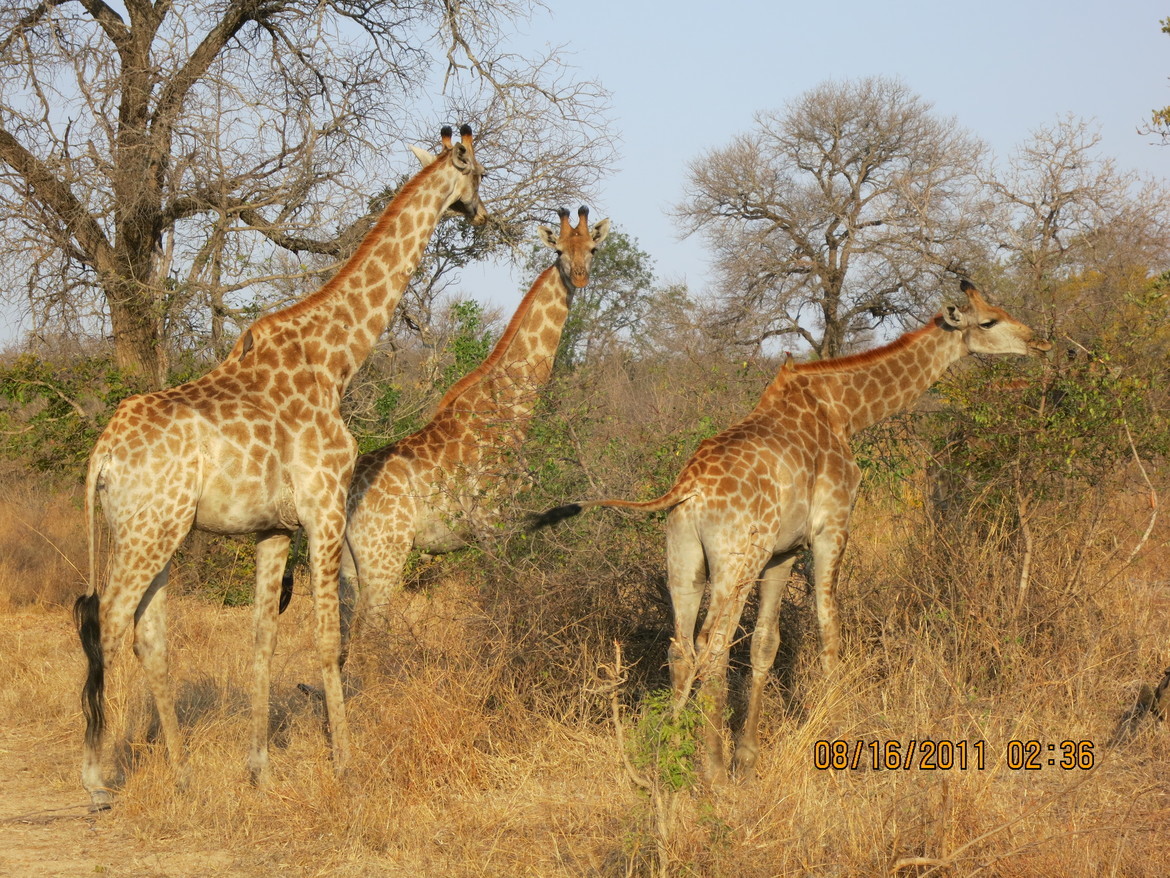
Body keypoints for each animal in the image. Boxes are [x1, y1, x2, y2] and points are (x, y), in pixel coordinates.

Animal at [73, 125, 487, 809]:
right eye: (476, 173)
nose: (479, 212)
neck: (336, 358)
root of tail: (101, 454)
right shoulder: (324, 508)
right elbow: (328, 640)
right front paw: (345, 766)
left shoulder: (273, 528)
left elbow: (263, 637)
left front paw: (259, 768)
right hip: (149, 529)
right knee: (111, 615)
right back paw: (100, 777)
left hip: (153, 530)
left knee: (149, 634)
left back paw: (183, 775)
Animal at [341, 206, 609, 631]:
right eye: (560, 250)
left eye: (593, 248)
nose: (580, 277)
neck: (510, 409)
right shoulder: (492, 524)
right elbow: (500, 595)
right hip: (384, 556)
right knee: (370, 628)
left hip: (345, 567)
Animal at [531, 281, 1051, 782]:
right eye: (990, 320)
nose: (1041, 342)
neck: (845, 410)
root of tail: (687, 487)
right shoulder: (833, 526)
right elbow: (828, 626)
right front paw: (837, 729)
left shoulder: (782, 553)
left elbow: (766, 644)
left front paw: (749, 758)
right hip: (737, 559)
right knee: (712, 645)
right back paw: (712, 773)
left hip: (684, 557)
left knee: (681, 647)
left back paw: (667, 758)